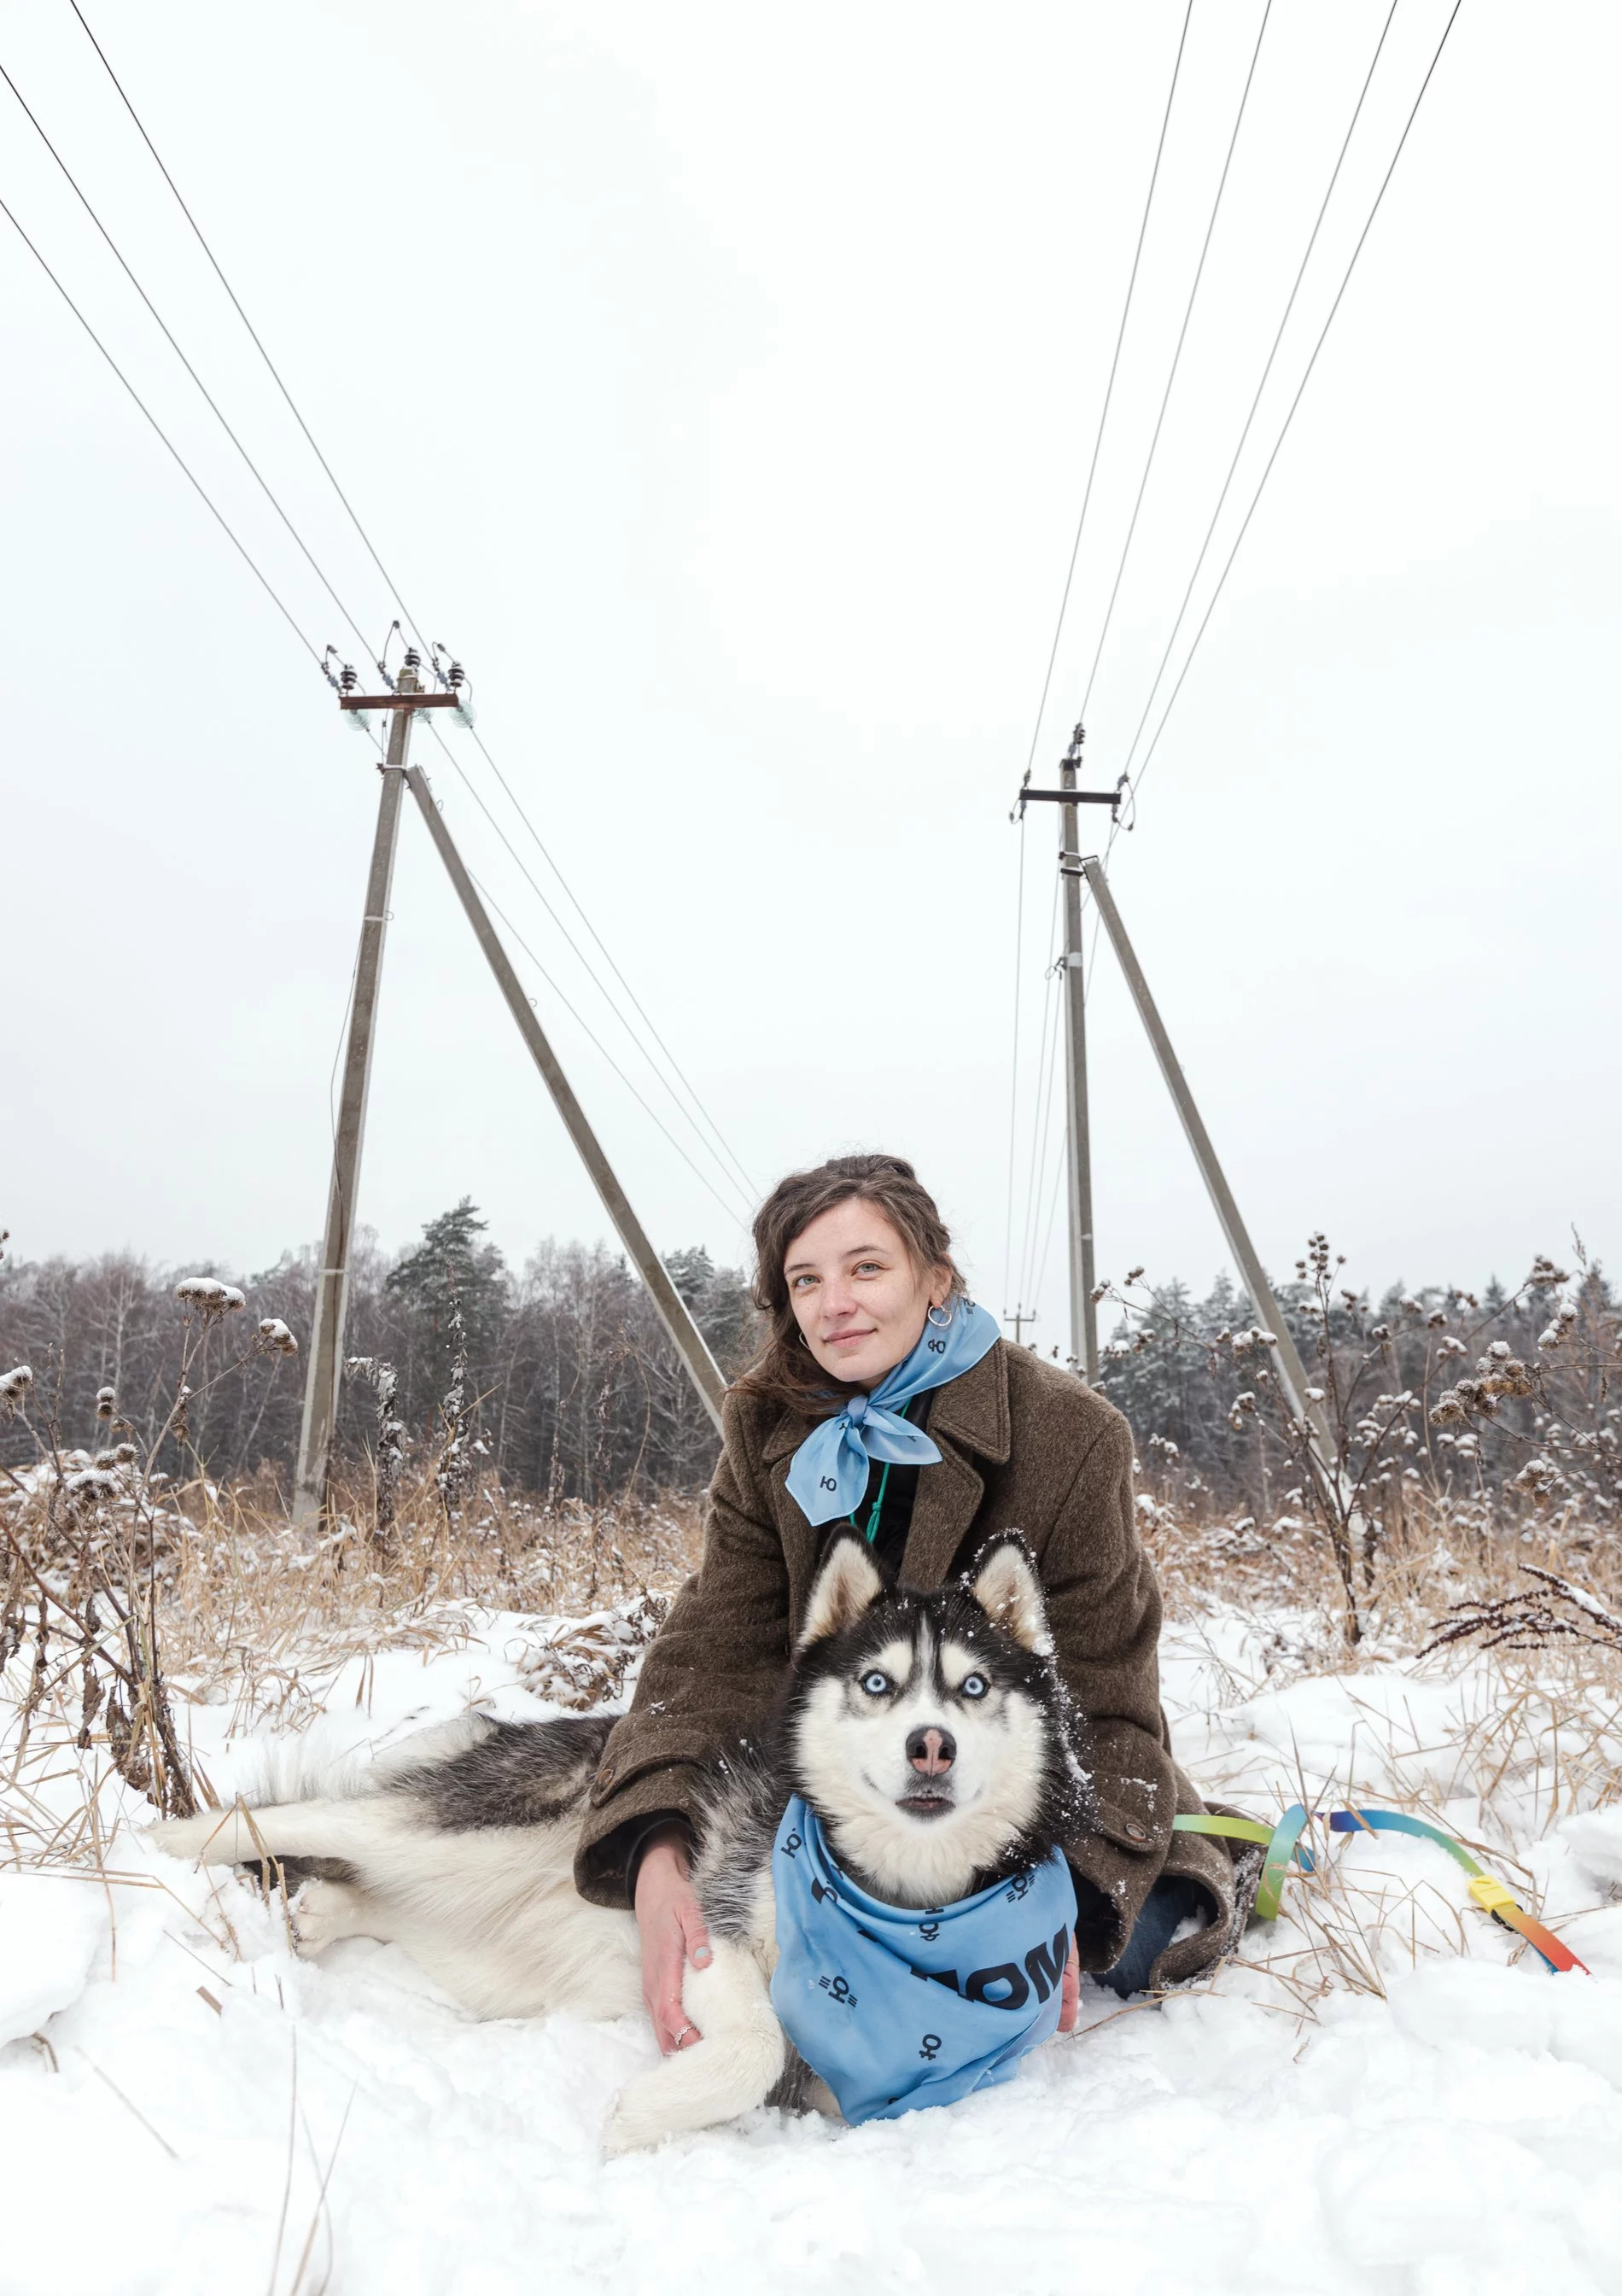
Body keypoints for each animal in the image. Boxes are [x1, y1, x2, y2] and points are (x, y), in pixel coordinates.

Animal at [152, 1530, 1094, 2151]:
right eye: (877, 1683)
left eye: (973, 1686)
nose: (931, 1744)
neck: (902, 1896)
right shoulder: (707, 1926)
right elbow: (757, 2044)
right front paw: (639, 2116)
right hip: (473, 1828)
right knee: (310, 1819)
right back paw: (162, 1845)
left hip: (486, 1951)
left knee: (386, 1894)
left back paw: (323, 1912)